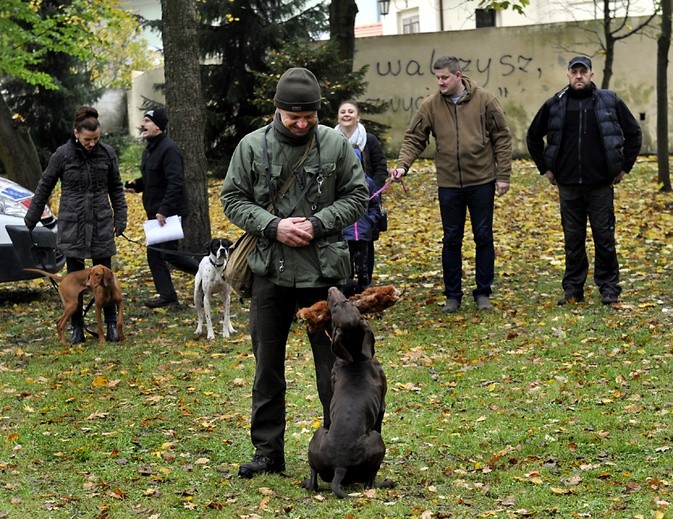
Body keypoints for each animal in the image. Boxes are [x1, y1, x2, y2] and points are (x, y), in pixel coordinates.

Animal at [302, 288, 386, 500]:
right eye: (335, 306)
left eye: (345, 302)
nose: (331, 289)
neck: (355, 356)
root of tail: (340, 465)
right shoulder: (382, 406)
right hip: (376, 440)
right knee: (370, 481)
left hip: (317, 436)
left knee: (313, 480)